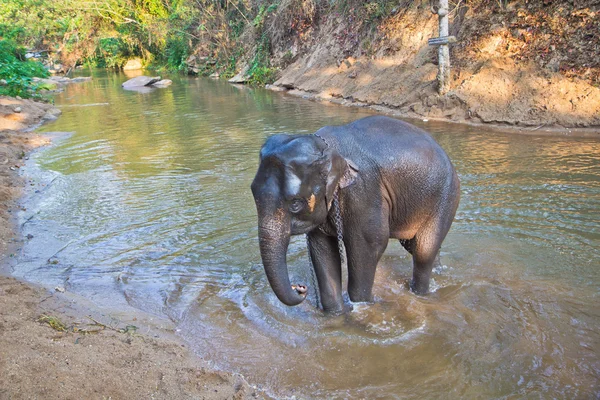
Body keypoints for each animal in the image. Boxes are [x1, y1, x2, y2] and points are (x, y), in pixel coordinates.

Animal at [248, 114, 460, 314]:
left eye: (295, 204)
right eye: (253, 194)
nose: (300, 287)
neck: (328, 148)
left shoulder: (363, 191)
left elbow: (370, 244)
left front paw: (361, 307)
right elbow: (322, 249)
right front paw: (336, 314)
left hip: (446, 196)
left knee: (424, 250)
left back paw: (420, 293)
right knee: (415, 247)